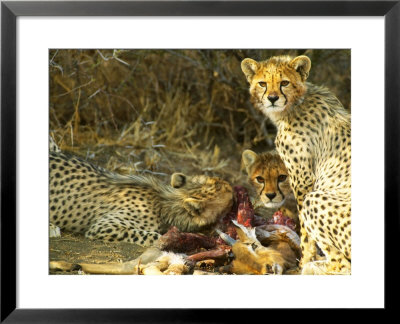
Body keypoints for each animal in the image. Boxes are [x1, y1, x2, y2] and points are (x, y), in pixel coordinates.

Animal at [241, 55, 350, 274]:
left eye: (284, 82)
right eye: (263, 83)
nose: (272, 98)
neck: (295, 104)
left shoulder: (303, 180)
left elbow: (306, 233)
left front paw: (305, 259)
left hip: (315, 200)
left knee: (342, 265)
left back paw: (314, 267)